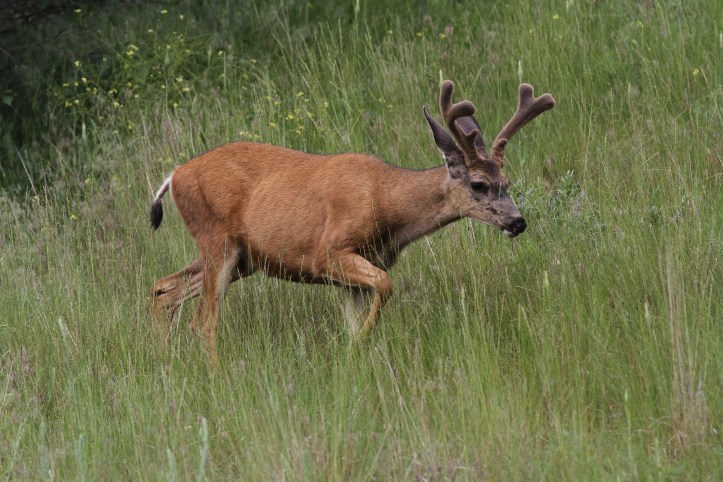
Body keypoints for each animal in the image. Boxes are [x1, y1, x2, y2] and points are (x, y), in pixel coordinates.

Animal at [149, 80, 555, 363]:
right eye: (479, 184)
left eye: (507, 182)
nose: (518, 222)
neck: (386, 202)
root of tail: (174, 175)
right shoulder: (329, 252)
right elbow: (386, 287)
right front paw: (356, 347)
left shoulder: (356, 272)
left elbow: (357, 315)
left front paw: (354, 354)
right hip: (217, 239)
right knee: (203, 321)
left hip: (241, 258)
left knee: (164, 290)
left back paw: (166, 362)